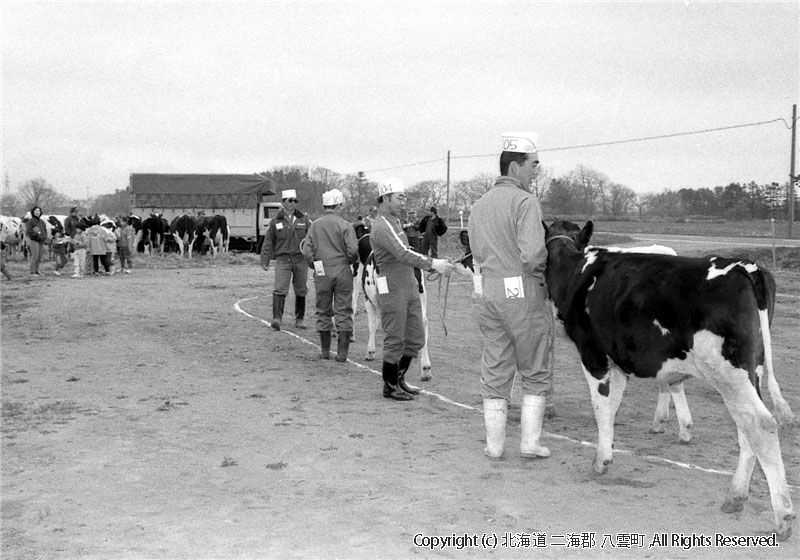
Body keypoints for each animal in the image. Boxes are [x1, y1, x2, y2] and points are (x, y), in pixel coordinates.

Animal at [544, 219, 792, 540]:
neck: (578, 271)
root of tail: (745, 266)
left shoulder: (593, 354)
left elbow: (600, 407)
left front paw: (600, 460)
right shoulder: (618, 361)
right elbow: (611, 407)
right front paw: (607, 450)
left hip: (730, 372)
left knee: (760, 425)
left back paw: (782, 516)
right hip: (752, 372)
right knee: (745, 426)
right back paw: (735, 497)